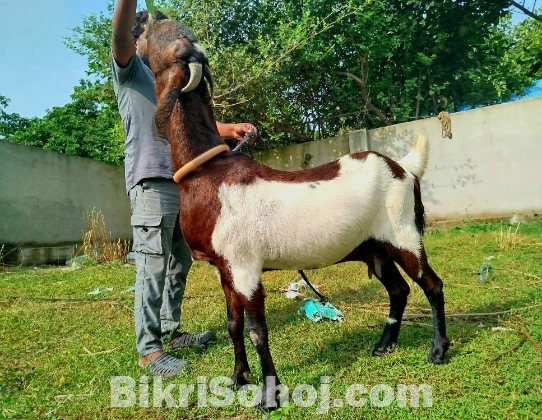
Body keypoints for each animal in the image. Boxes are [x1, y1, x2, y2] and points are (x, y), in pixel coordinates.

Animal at [146, 16, 450, 409]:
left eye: (158, 34)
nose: (140, 21)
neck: (210, 174)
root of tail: (404, 168)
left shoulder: (245, 265)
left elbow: (257, 331)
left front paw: (269, 396)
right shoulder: (223, 268)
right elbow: (233, 325)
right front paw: (237, 379)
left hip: (403, 234)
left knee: (431, 284)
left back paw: (438, 350)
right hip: (375, 247)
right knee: (398, 289)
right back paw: (383, 346)